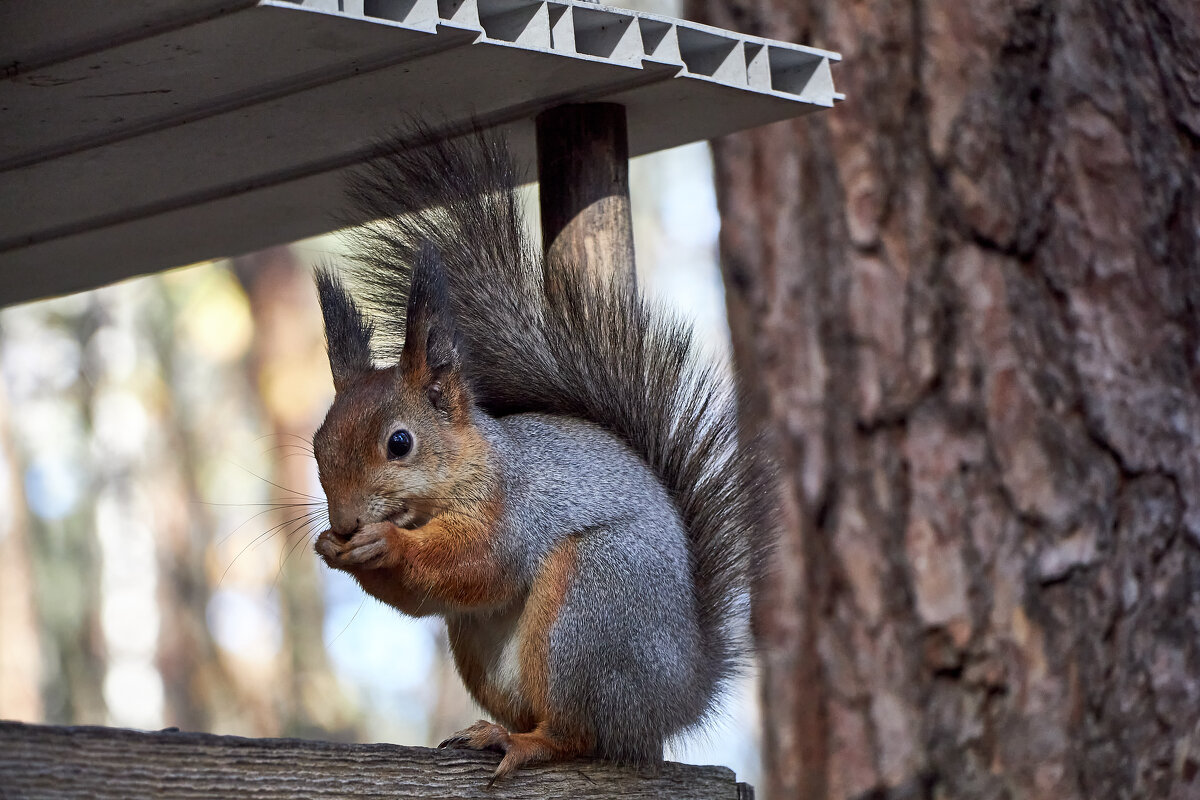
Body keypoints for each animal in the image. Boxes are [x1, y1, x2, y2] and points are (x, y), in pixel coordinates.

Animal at [309, 128, 772, 777]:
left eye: (400, 443)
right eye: (317, 446)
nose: (346, 522)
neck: (473, 468)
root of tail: (678, 695)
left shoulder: (517, 508)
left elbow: (477, 563)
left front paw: (386, 544)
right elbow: (427, 597)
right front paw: (332, 548)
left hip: (593, 606)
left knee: (581, 736)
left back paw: (528, 743)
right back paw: (492, 731)